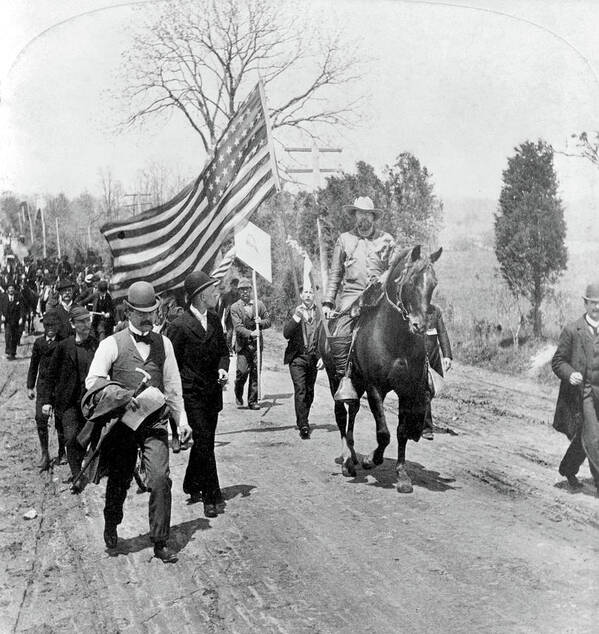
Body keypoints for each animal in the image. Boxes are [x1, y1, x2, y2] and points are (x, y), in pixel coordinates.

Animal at [318, 244, 440, 492]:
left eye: (434, 284)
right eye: (411, 281)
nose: (420, 325)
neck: (395, 339)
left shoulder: (407, 391)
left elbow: (401, 432)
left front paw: (402, 475)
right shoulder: (375, 388)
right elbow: (383, 433)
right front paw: (370, 460)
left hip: (357, 382)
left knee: (353, 410)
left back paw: (353, 455)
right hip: (335, 378)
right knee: (341, 415)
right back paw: (347, 460)